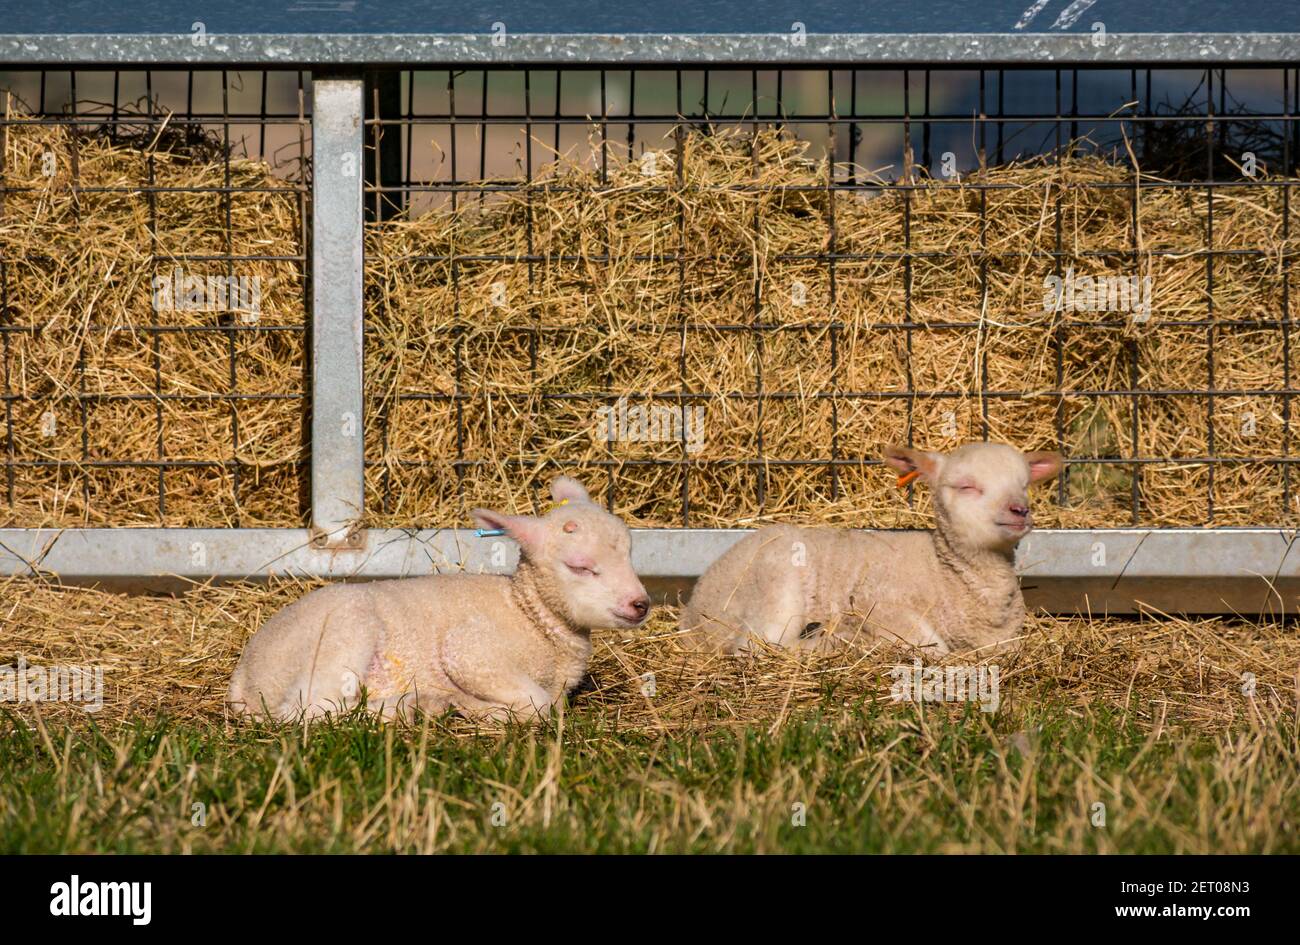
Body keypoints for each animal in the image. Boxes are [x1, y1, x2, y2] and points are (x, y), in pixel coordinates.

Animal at [227, 476, 650, 722]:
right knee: (310, 710)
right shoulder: (470, 652)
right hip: (341, 637)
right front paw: (486, 711)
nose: (640, 604)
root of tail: (243, 676)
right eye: (581, 566)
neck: (531, 617)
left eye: (631, 554)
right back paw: (412, 707)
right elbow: (539, 704)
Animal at [679, 442, 1062, 656]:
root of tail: (694, 611)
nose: (1020, 510)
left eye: (1025, 485)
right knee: (756, 647)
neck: (945, 571)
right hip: (772, 585)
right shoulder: (878, 604)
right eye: (967, 486)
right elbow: (934, 648)